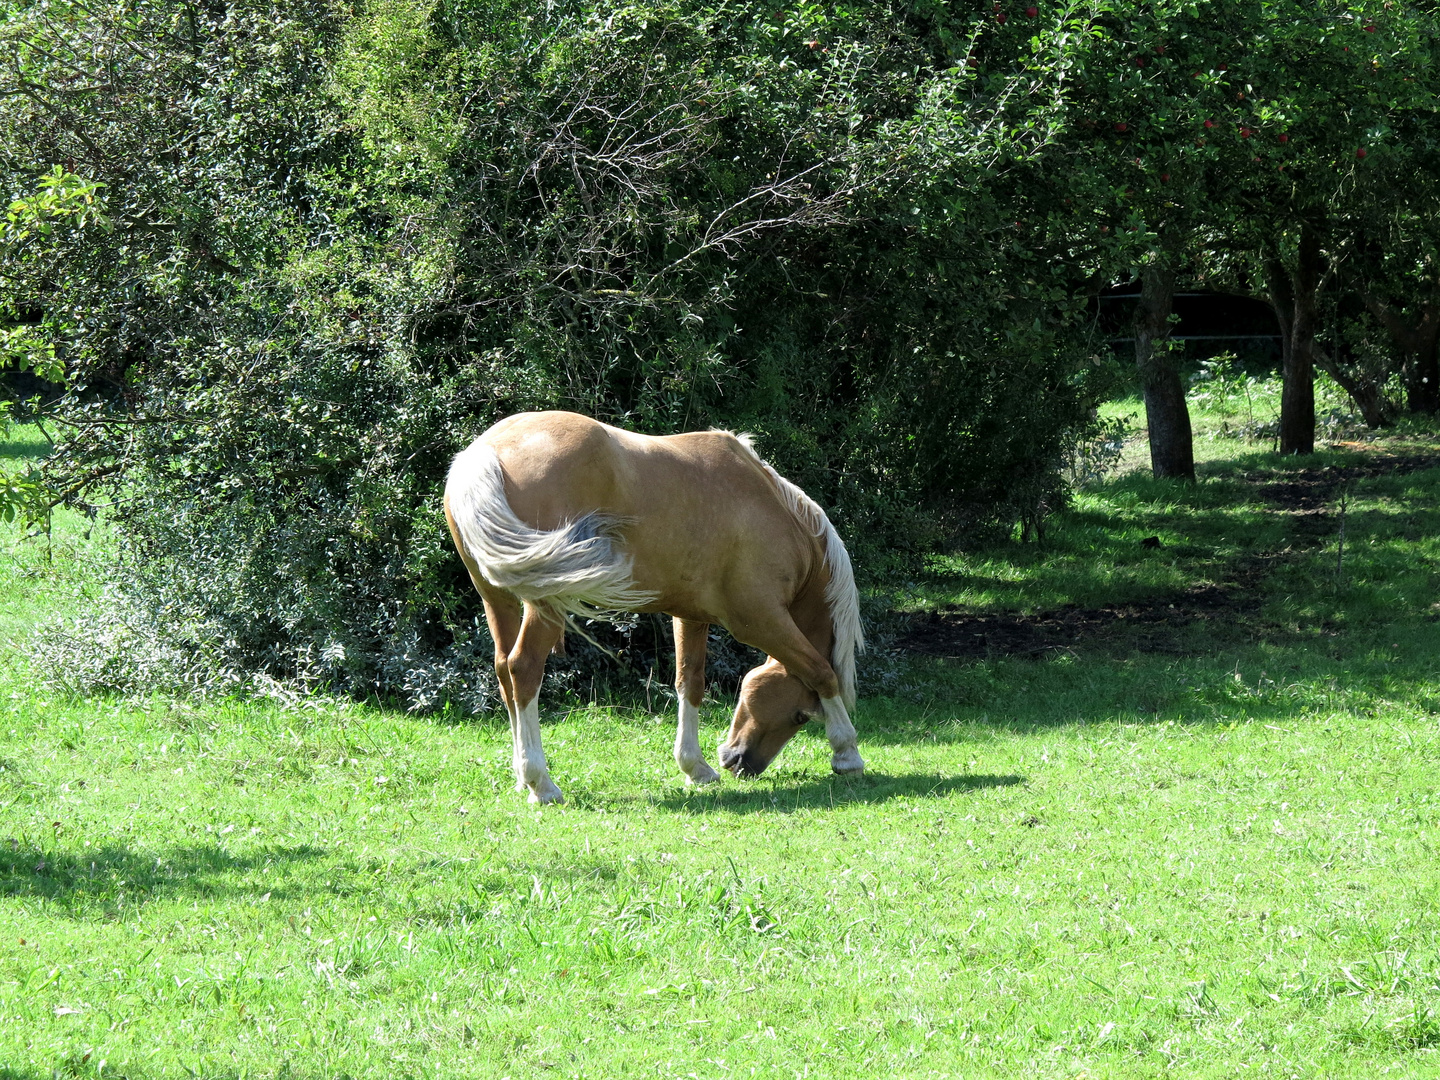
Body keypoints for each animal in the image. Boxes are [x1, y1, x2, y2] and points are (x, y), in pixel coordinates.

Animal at [437, 408, 864, 806]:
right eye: (799, 715)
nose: (738, 762)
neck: (774, 511)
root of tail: (486, 451)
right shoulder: (759, 620)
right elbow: (822, 672)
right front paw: (847, 753)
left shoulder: (690, 616)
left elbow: (689, 683)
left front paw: (696, 767)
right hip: (545, 603)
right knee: (523, 668)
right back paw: (541, 783)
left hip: (499, 600)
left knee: (503, 671)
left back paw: (521, 779)